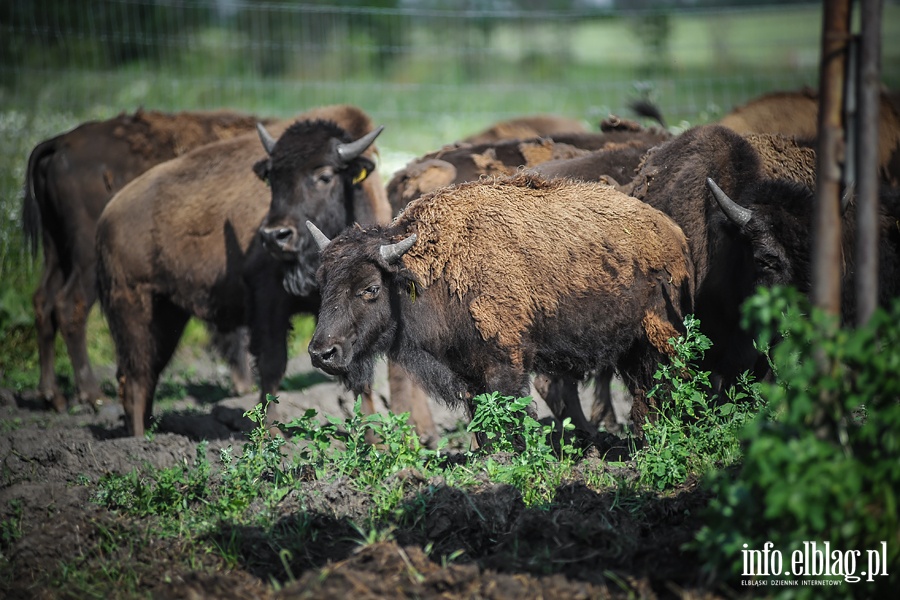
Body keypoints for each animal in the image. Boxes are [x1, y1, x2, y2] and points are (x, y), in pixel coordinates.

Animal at [19, 108, 268, 410]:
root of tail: (59, 143)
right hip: (86, 259)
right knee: (69, 306)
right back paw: (93, 395)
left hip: (55, 249)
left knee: (43, 301)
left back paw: (53, 396)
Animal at [96, 105, 434, 438]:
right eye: (272, 177)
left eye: (324, 176)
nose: (274, 236)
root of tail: (108, 215)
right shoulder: (269, 303)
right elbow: (273, 366)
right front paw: (270, 435)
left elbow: (359, 375)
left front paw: (374, 439)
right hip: (132, 306)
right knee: (135, 376)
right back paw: (138, 443)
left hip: (168, 314)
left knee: (146, 374)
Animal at [306, 172, 692, 440]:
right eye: (323, 285)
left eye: (370, 288)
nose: (321, 353)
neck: (424, 275)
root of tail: (671, 231)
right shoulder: (468, 376)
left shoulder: (504, 368)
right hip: (632, 349)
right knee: (644, 394)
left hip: (659, 338)